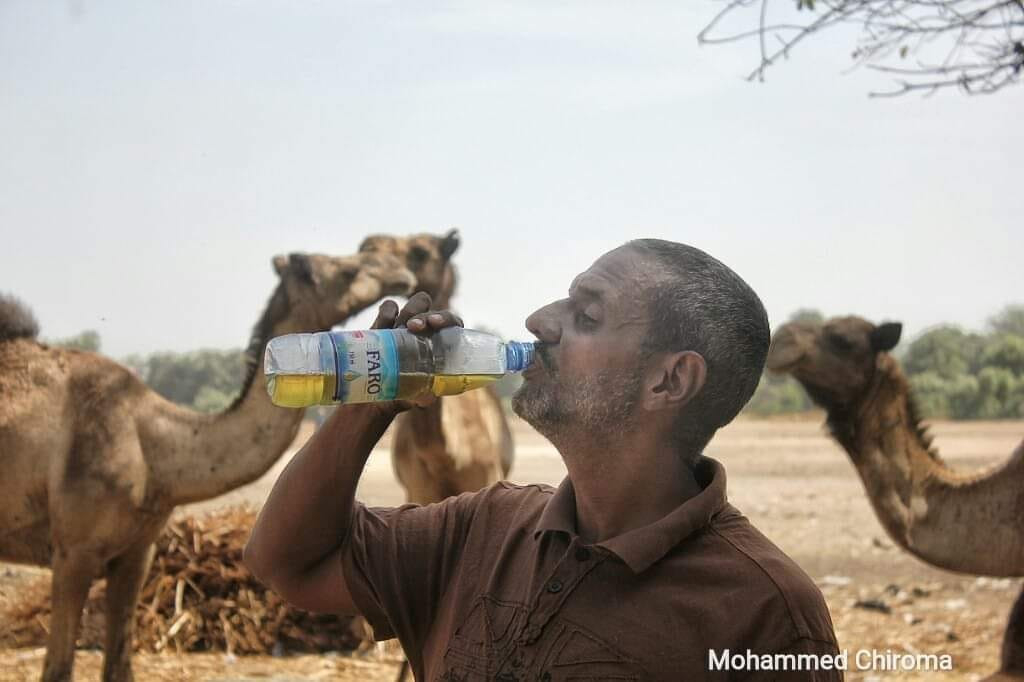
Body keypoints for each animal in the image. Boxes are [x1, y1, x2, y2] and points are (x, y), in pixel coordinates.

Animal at [0, 249, 416, 682]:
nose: (399, 269)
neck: (156, 449)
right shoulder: (73, 552)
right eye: (347, 269)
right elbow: (58, 669)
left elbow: (119, 667)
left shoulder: (137, 553)